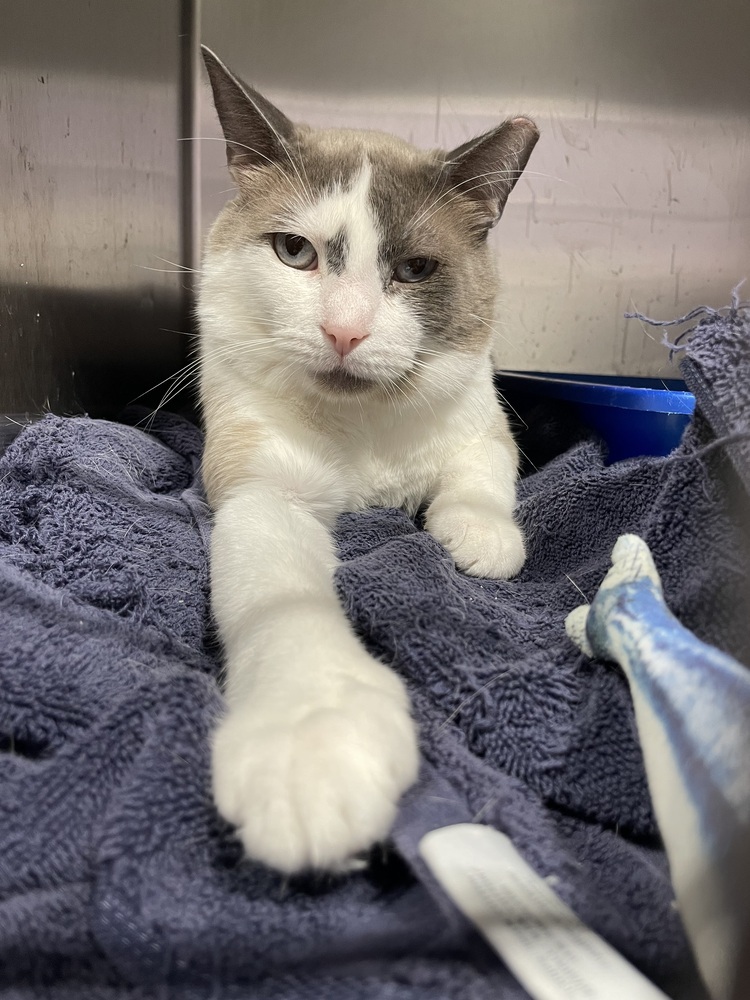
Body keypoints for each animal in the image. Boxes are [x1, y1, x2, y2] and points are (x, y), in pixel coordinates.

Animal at [198, 47, 540, 876]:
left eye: (415, 269)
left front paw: (479, 539)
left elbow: (483, 470)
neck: (362, 426)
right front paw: (313, 741)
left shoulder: (481, 418)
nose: (345, 332)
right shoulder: (263, 486)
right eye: (295, 251)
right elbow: (282, 594)